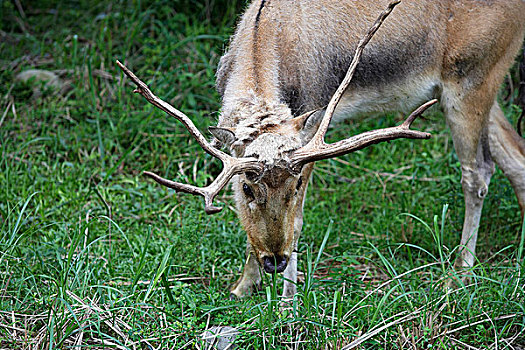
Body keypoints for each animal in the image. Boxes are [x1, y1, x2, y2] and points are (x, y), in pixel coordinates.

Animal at [117, 0, 524, 298]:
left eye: (295, 185)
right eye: (247, 187)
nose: (275, 260)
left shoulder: (313, 131)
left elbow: (298, 221)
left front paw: (288, 301)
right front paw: (242, 287)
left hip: (471, 78)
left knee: (478, 172)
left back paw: (460, 273)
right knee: (515, 157)